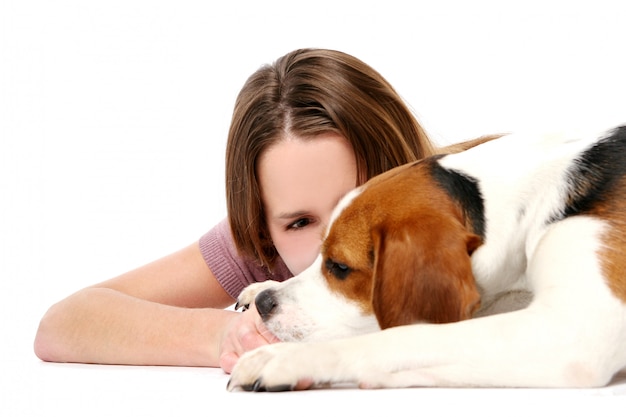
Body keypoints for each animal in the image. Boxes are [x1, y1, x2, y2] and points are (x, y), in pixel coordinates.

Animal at [227, 124, 624, 390]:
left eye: (339, 266)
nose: (265, 303)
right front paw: (260, 286)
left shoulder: (572, 333)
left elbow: (403, 337)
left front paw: (286, 361)